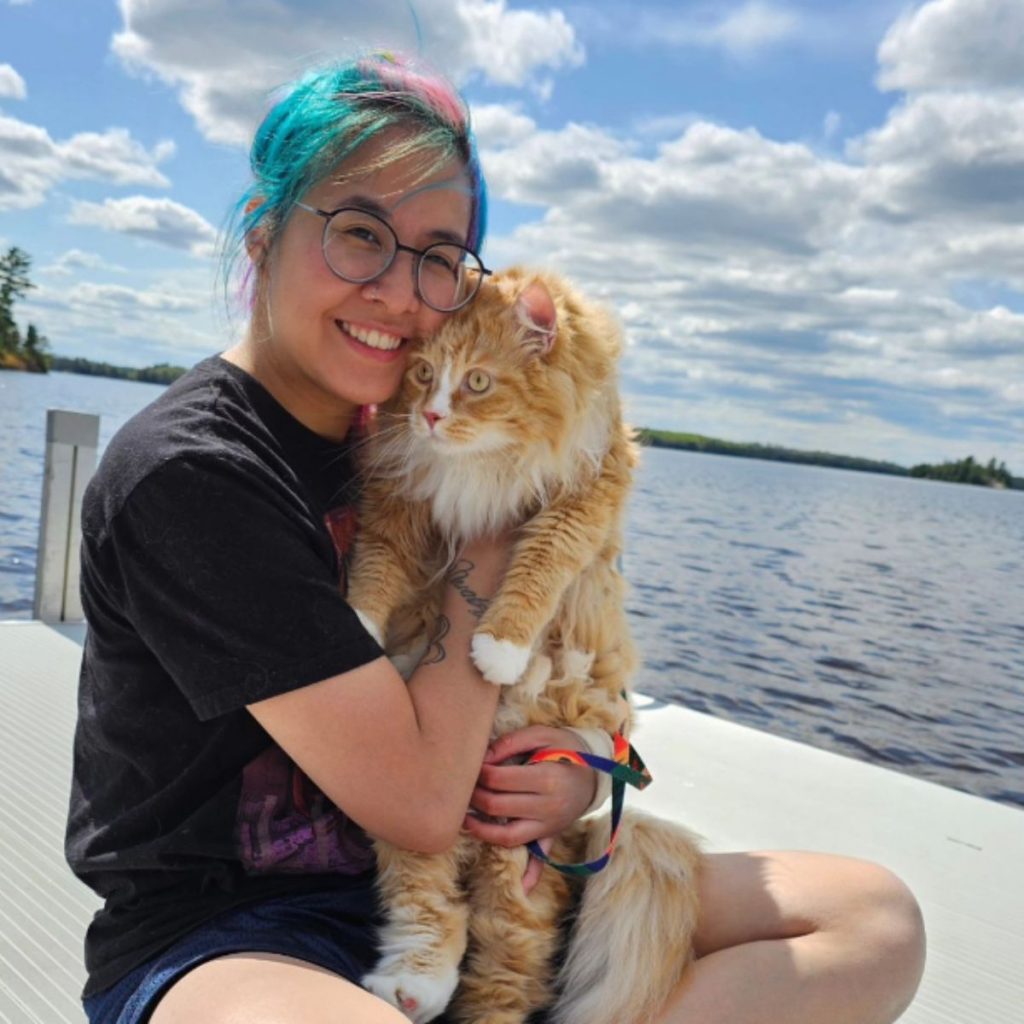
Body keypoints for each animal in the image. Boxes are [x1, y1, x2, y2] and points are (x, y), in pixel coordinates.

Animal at [348, 266, 700, 1024]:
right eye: (422, 373)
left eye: (478, 382)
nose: (429, 418)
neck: (483, 462)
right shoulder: (400, 498)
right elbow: (376, 568)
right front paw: (355, 621)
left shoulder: (587, 492)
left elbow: (541, 565)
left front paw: (499, 649)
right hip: (421, 813)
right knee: (433, 907)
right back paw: (414, 983)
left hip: (513, 866)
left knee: (508, 973)